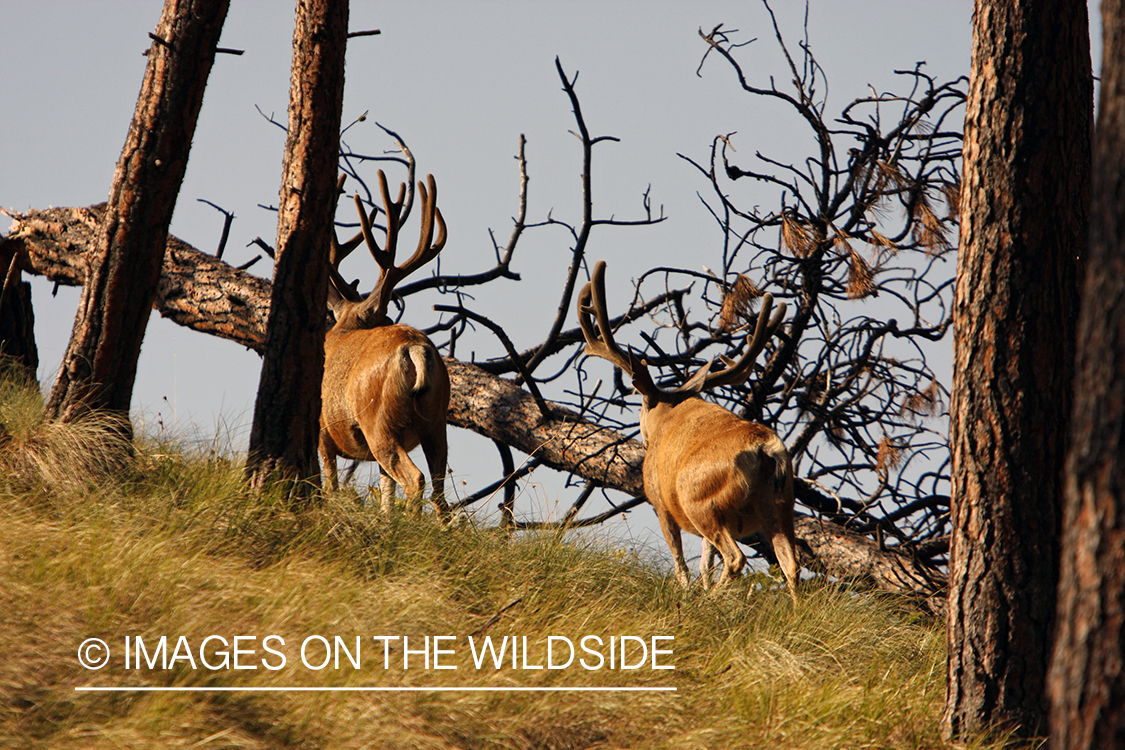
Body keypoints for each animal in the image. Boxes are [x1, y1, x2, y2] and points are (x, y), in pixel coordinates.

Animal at [319, 169, 450, 521]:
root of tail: (415, 348)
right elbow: (385, 494)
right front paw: (385, 521)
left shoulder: (323, 430)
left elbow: (330, 486)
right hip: (436, 422)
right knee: (439, 490)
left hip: (378, 420)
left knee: (415, 478)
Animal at [577, 260, 800, 598]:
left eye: (640, 406)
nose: (645, 438)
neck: (667, 412)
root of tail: (765, 448)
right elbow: (704, 564)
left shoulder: (660, 502)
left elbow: (681, 563)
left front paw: (685, 592)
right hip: (781, 504)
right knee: (790, 565)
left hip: (700, 500)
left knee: (736, 558)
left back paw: (713, 600)